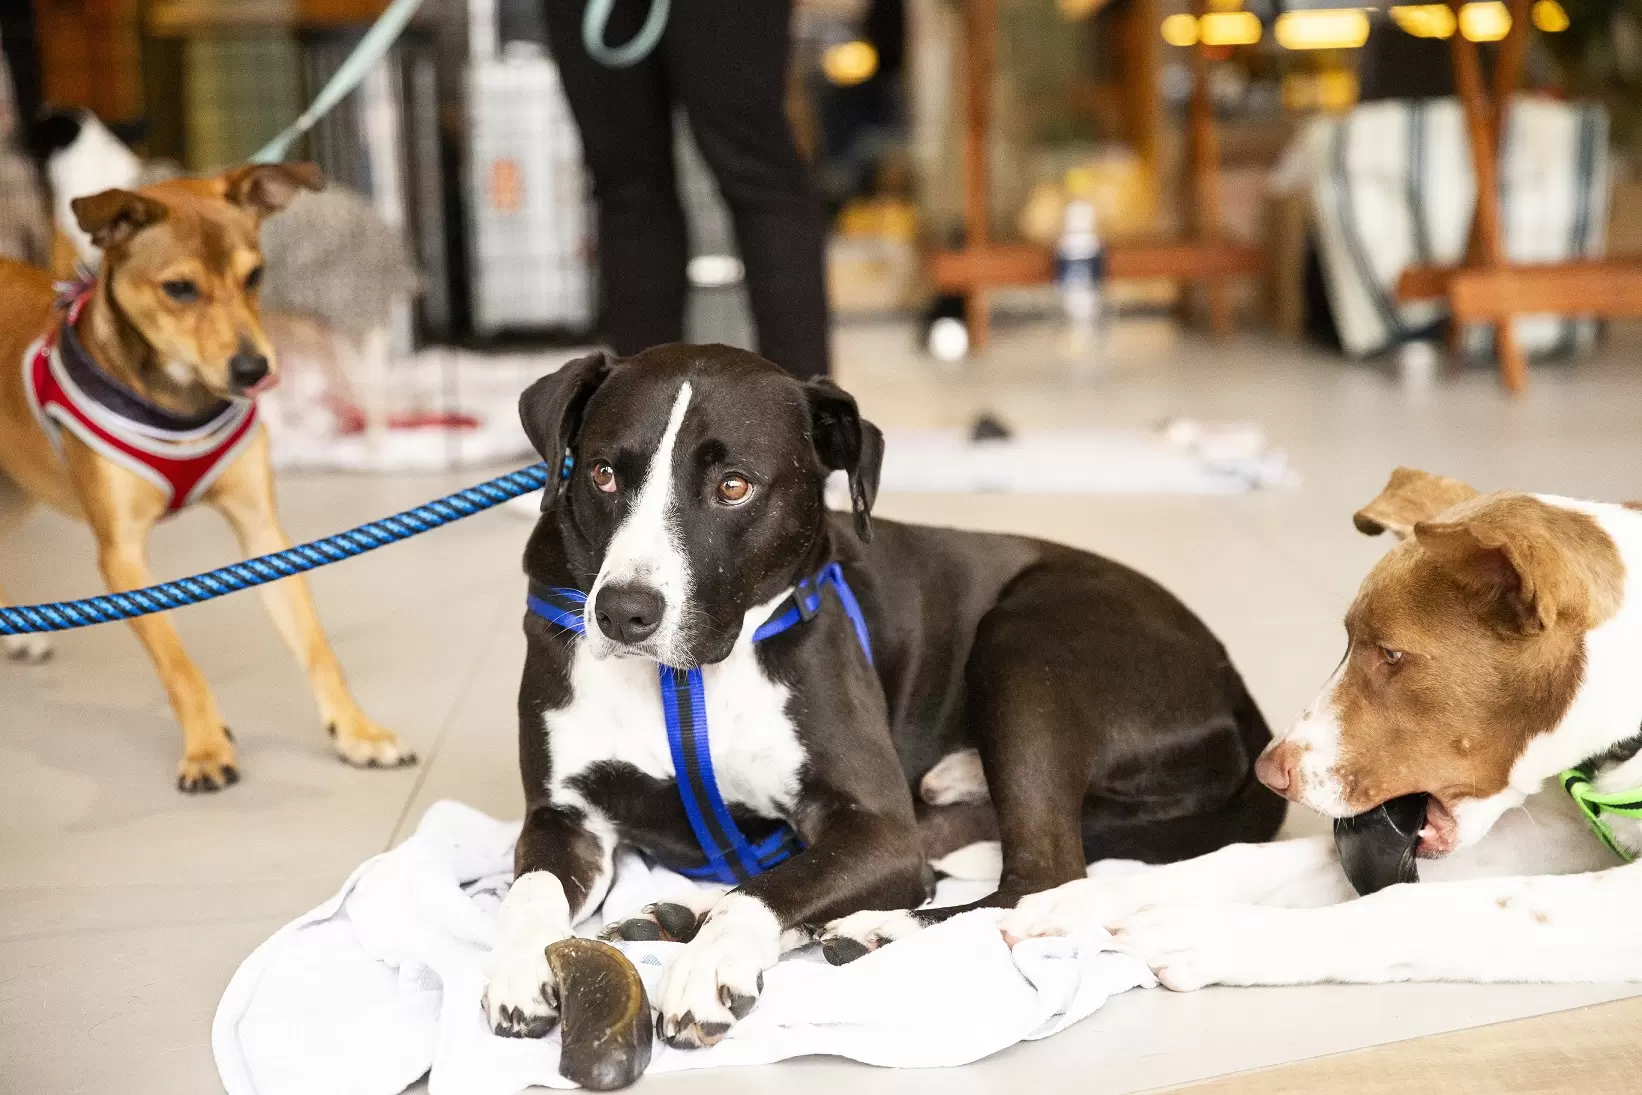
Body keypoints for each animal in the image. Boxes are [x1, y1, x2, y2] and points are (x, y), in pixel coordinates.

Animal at [0, 164, 417, 788]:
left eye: (255, 275)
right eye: (178, 289)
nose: (254, 369)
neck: (182, 401)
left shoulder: (264, 534)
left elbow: (318, 649)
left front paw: (357, 733)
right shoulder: (122, 557)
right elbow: (178, 664)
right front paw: (204, 748)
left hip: (16, 491)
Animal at [482, 346, 1280, 1050]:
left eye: (734, 486)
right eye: (603, 474)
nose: (623, 612)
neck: (685, 684)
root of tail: (1236, 683)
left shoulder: (878, 825)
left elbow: (766, 891)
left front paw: (712, 960)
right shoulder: (566, 818)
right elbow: (530, 887)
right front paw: (517, 966)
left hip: (1028, 641)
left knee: (1037, 874)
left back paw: (873, 926)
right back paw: (695, 907)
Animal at [998, 466, 1642, 991]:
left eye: (1391, 654)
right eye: (1351, 644)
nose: (1267, 772)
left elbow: (1422, 907)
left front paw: (1209, 932)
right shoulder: (1556, 838)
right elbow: (1250, 859)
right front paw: (1089, 898)